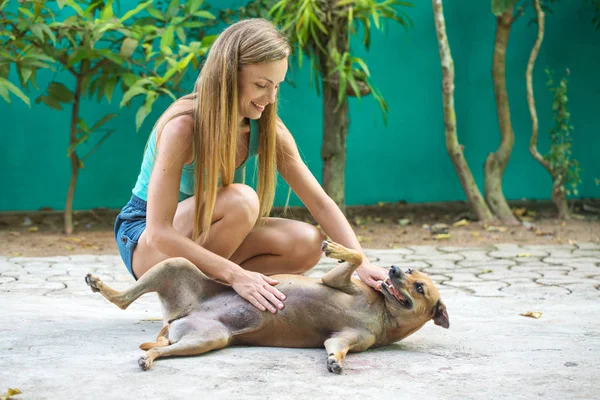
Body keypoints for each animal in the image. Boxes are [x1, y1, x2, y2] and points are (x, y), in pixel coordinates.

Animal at [85, 239, 450, 374]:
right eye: (412, 270)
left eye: (419, 287)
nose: (394, 270)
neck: (383, 311)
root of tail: (177, 318)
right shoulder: (334, 280)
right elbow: (357, 257)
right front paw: (339, 248)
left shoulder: (342, 338)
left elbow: (336, 348)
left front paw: (335, 361)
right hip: (176, 264)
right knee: (124, 299)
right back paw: (101, 285)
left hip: (207, 339)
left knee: (155, 341)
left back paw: (149, 355)